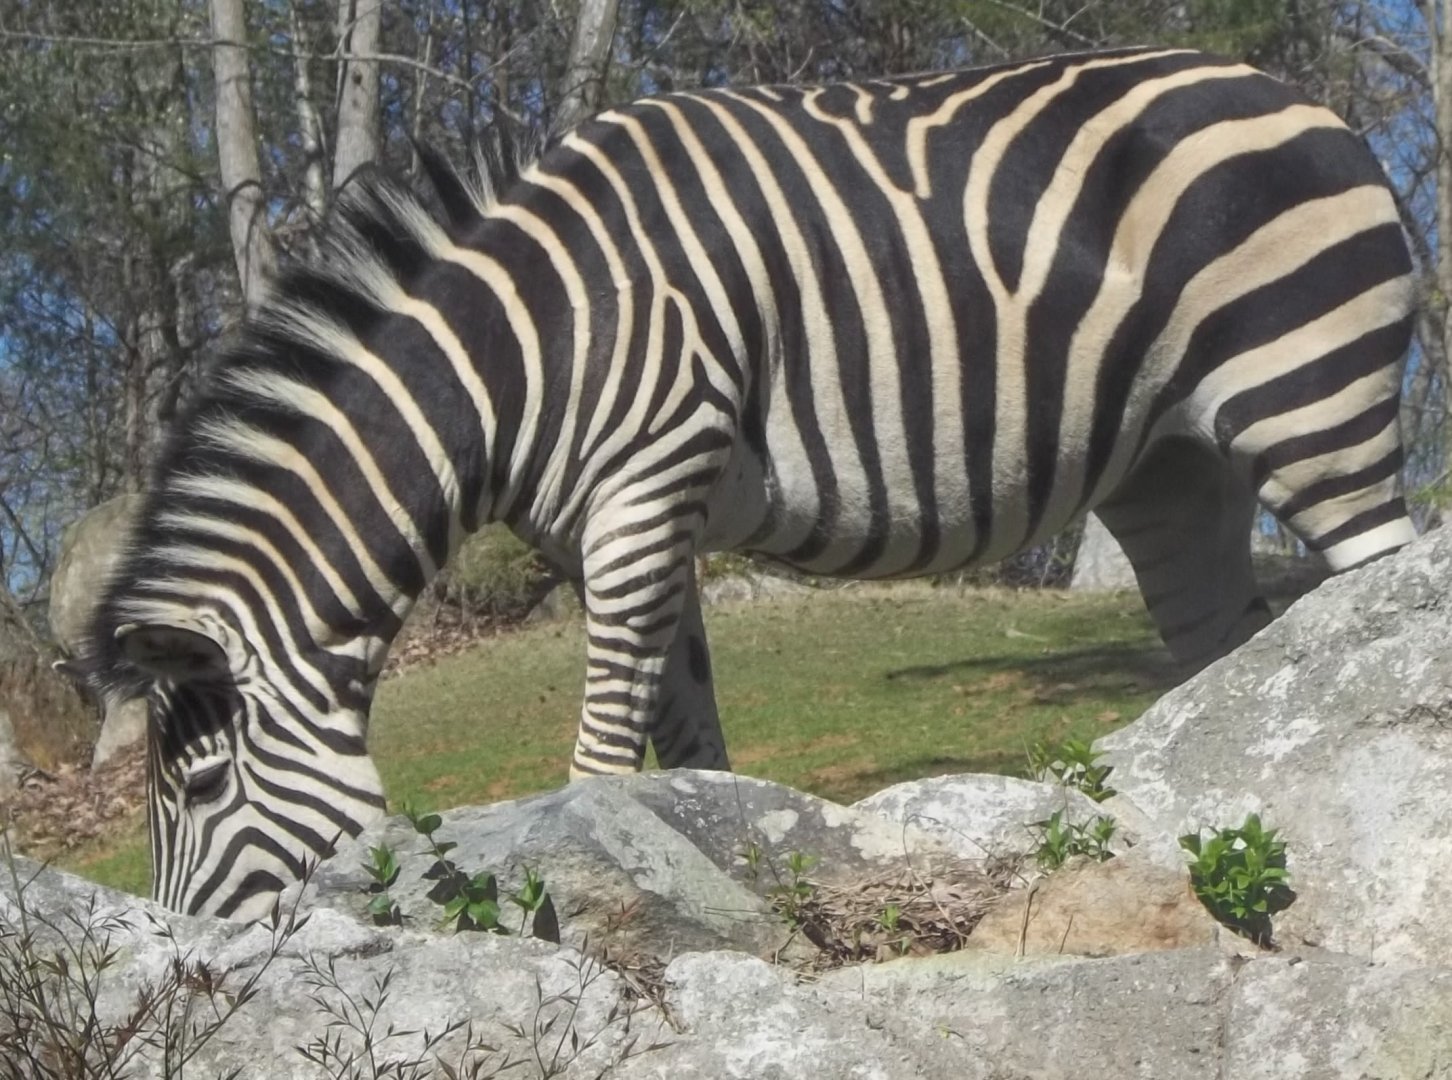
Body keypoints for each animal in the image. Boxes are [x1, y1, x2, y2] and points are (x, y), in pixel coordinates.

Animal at [81, 46, 1416, 920]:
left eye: (199, 786)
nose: (194, 963)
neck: (523, 350)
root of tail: (1300, 94)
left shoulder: (645, 483)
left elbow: (601, 749)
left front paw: (574, 883)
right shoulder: (630, 522)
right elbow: (686, 729)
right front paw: (720, 865)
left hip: (1310, 394)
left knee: (1375, 606)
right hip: (1173, 467)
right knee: (1230, 663)